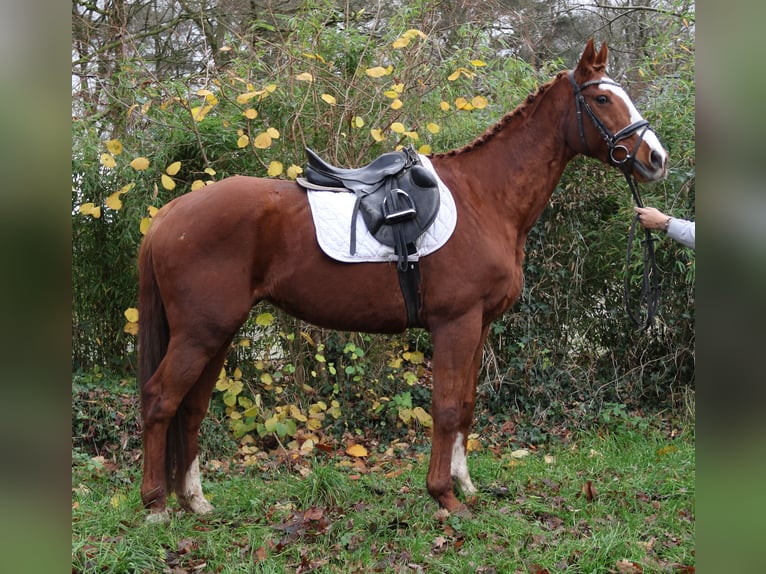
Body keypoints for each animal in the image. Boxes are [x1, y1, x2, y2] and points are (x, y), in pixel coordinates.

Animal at [138, 40, 664, 524]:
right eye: (602, 99)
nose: (656, 157)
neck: (485, 197)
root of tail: (169, 215)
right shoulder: (455, 323)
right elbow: (446, 408)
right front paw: (444, 496)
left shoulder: (480, 326)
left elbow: (466, 405)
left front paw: (465, 485)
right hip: (201, 332)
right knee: (161, 399)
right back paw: (156, 506)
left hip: (217, 332)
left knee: (192, 407)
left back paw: (195, 500)